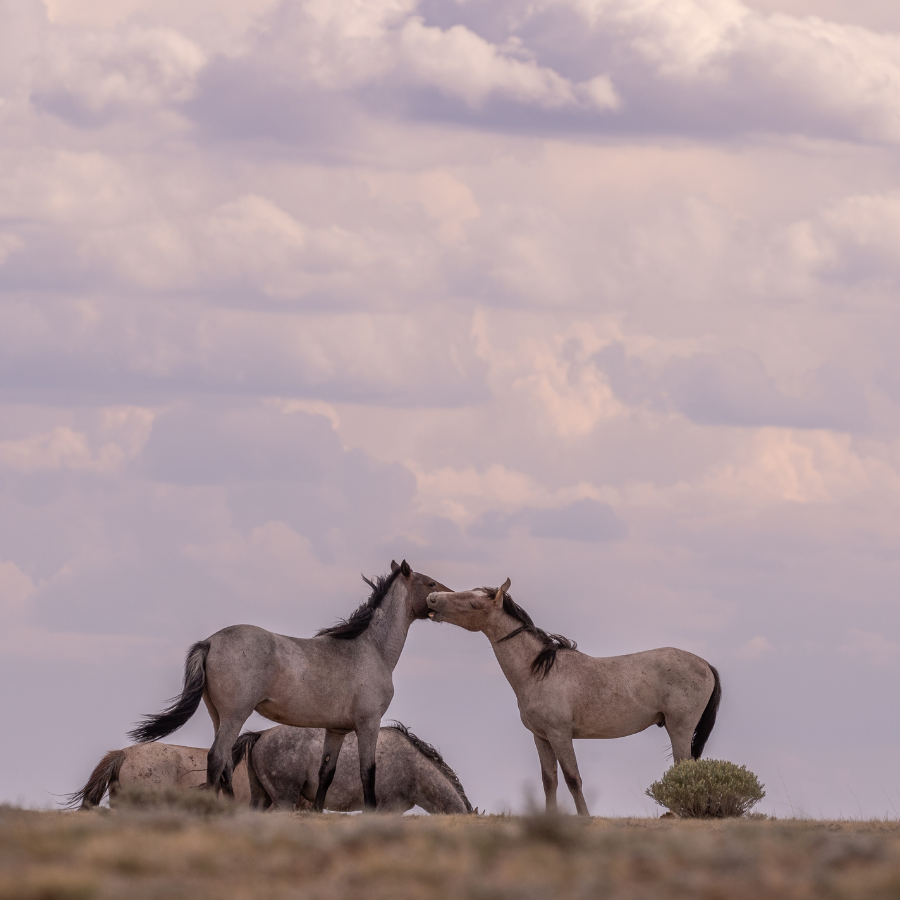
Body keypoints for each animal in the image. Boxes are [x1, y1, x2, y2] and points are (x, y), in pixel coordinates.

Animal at [129, 560, 450, 810]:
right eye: (431, 582)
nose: (450, 598)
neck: (370, 648)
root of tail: (210, 642)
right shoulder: (368, 724)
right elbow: (367, 772)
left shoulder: (336, 730)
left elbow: (326, 772)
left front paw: (318, 811)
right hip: (235, 715)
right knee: (217, 757)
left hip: (217, 715)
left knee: (226, 763)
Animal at [425, 579, 721, 816]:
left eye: (473, 603)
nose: (432, 598)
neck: (539, 671)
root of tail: (706, 664)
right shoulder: (541, 737)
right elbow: (549, 781)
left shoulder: (560, 735)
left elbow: (572, 778)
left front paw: (583, 816)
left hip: (679, 729)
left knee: (683, 768)